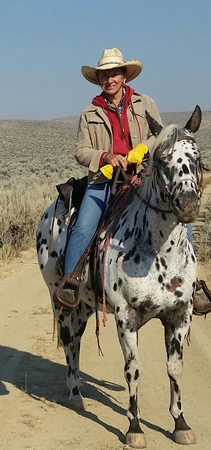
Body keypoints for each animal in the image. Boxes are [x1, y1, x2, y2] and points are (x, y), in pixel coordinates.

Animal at [37, 106, 203, 450]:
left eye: (198, 157)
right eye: (162, 159)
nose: (188, 204)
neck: (160, 253)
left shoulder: (181, 314)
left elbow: (175, 368)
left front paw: (180, 423)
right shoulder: (126, 317)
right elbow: (134, 369)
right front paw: (135, 428)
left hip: (85, 306)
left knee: (78, 340)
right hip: (60, 301)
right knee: (69, 342)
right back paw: (75, 393)